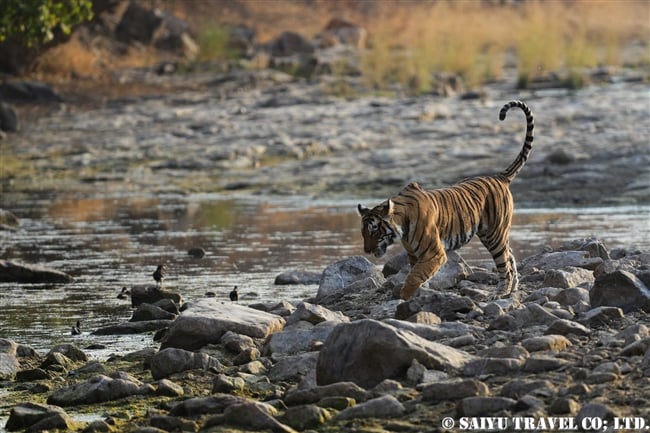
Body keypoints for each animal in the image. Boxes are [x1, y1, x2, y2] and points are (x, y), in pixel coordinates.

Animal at [356, 99, 536, 298]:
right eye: (363, 232)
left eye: (374, 231)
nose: (367, 250)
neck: (401, 226)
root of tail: (499, 177)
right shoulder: (414, 254)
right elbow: (418, 274)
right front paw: (420, 293)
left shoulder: (434, 253)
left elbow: (415, 276)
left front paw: (405, 296)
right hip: (492, 234)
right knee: (510, 255)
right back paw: (513, 288)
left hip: (495, 234)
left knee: (504, 264)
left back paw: (501, 292)